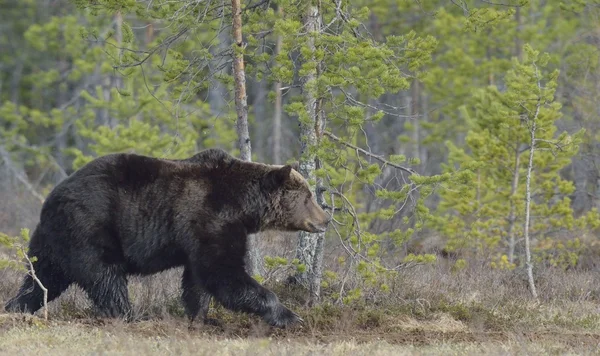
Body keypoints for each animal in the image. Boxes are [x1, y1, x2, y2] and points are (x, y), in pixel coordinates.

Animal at [4, 148, 330, 328]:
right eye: (308, 196)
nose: (326, 219)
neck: (242, 205)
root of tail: (50, 199)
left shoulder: (200, 234)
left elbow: (198, 280)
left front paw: (202, 317)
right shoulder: (210, 218)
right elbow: (223, 273)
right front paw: (290, 316)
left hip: (53, 240)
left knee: (41, 278)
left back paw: (15, 307)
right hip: (89, 227)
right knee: (105, 275)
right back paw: (129, 315)